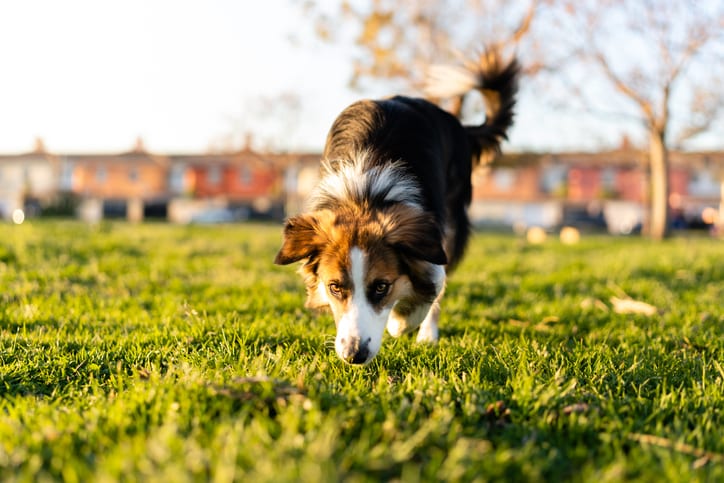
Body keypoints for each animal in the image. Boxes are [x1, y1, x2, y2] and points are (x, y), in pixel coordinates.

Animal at [274, 52, 516, 364]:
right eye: (334, 287)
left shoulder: (430, 234)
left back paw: (427, 335)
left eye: (381, 287)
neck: (365, 191)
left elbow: (432, 284)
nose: (354, 355)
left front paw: (400, 323)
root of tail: (459, 126)